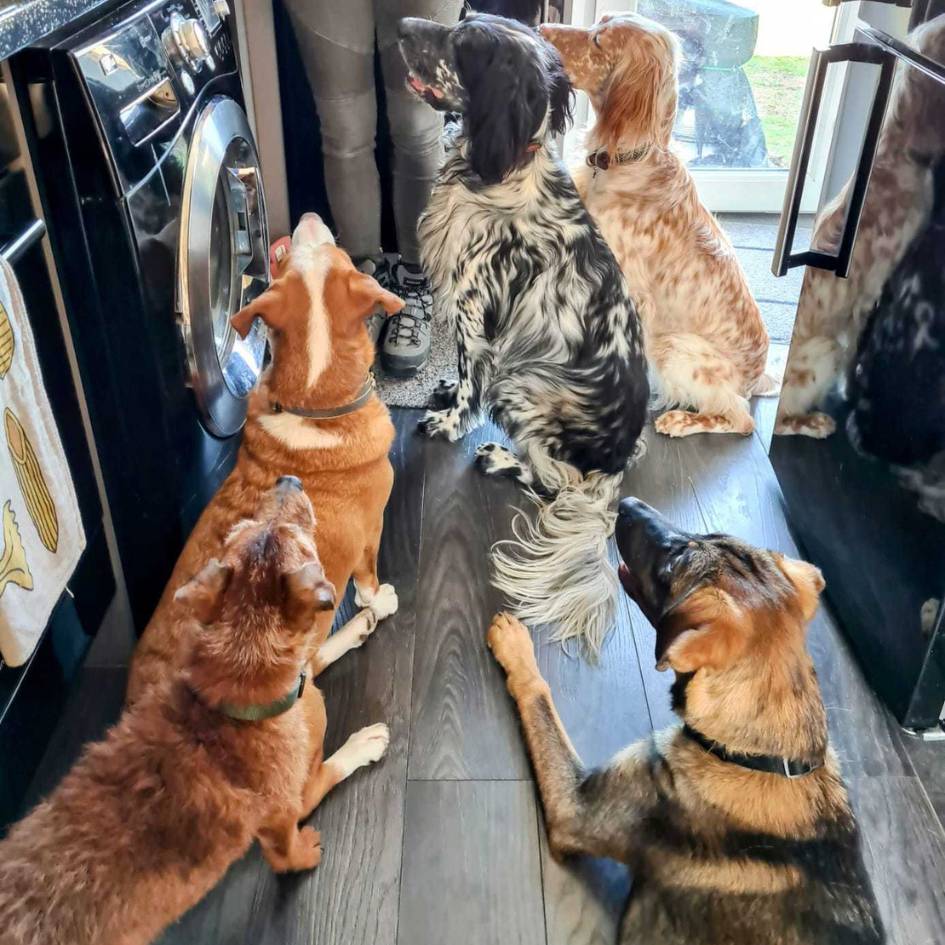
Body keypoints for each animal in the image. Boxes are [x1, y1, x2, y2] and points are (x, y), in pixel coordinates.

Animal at [0, 484, 390, 940]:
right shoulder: (293, 803)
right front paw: (364, 743)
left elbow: (318, 656)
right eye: (301, 541)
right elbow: (327, 780)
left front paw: (364, 620)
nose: (289, 480)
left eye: (244, 529)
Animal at [128, 214, 402, 700]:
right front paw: (375, 599)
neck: (314, 402)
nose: (307, 216)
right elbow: (366, 582)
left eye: (286, 265)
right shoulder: (372, 529)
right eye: (341, 255)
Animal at [486, 498, 884, 940]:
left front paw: (514, 644)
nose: (625, 503)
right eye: (709, 535)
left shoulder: (574, 807)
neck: (757, 754)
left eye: (672, 565)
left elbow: (539, 697)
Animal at [540, 15, 776, 436]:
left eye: (599, 40)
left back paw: (679, 419)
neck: (626, 162)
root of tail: (756, 377)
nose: (541, 30)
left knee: (741, 418)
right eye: (598, 23)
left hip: (674, 346)